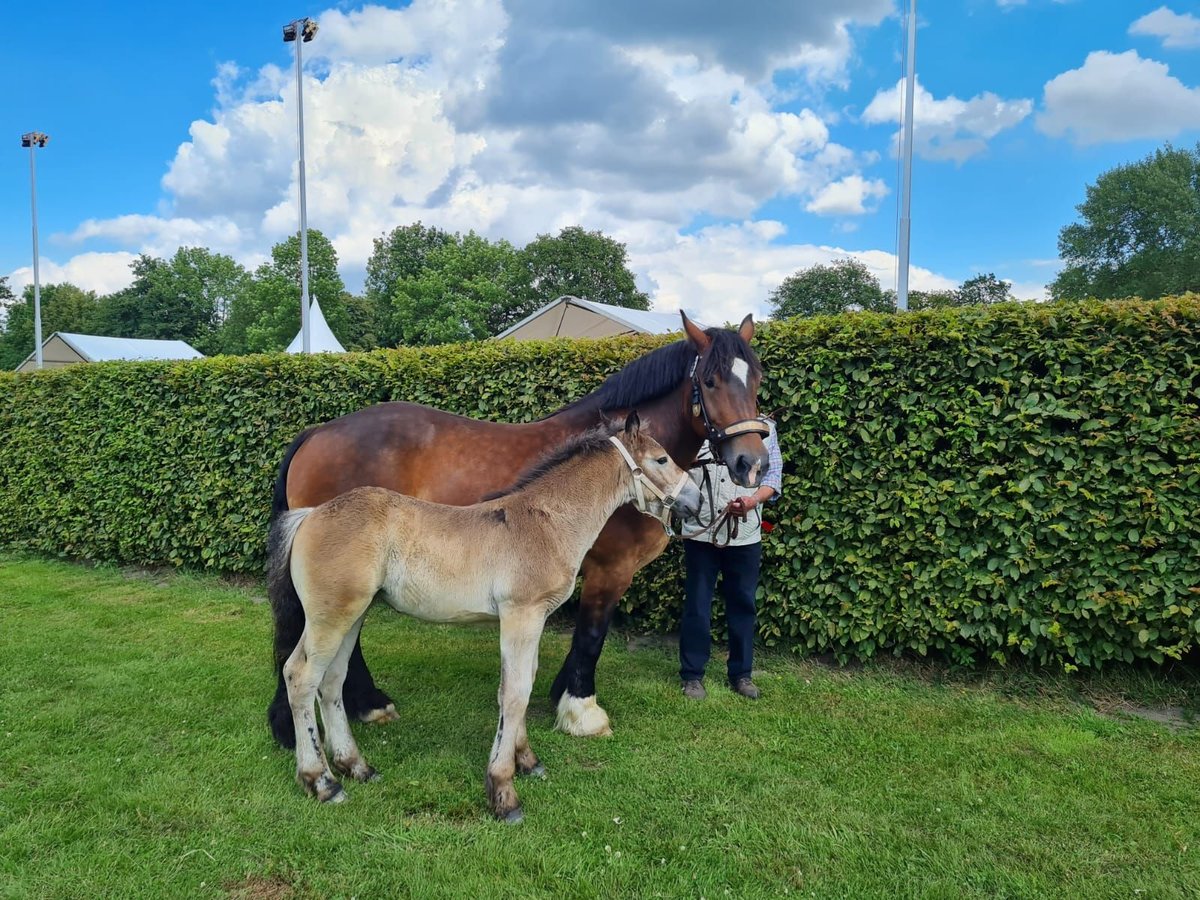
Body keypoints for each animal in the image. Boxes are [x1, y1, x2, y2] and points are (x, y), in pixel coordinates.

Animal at [266, 314, 763, 748]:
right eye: (710, 382)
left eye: (756, 379)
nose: (751, 463)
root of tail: (318, 432)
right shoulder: (611, 569)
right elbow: (592, 635)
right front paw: (582, 711)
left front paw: (560, 696)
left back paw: (366, 705)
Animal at [267, 415, 700, 825]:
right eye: (662, 459)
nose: (696, 501)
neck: (545, 522)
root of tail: (309, 516)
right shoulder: (521, 614)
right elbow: (515, 692)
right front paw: (503, 791)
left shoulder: (535, 618)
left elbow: (524, 683)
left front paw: (527, 761)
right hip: (329, 617)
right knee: (300, 676)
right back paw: (321, 781)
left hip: (352, 615)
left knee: (332, 681)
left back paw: (355, 765)